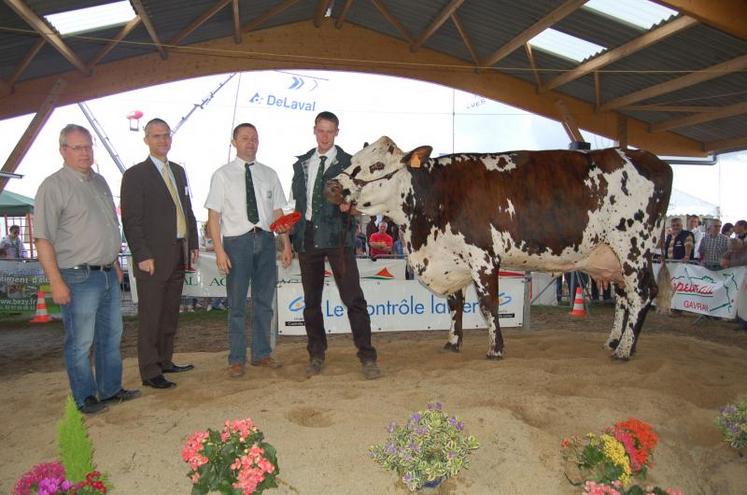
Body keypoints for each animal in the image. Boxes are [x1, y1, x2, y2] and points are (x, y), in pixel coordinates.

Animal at [324, 136, 676, 360]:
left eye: (376, 165)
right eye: (353, 160)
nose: (332, 186)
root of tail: (652, 159)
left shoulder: (483, 256)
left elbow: (488, 304)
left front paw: (496, 349)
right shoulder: (452, 259)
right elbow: (455, 303)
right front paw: (453, 342)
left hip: (632, 245)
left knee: (642, 293)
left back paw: (624, 350)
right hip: (615, 256)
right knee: (624, 296)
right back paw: (615, 341)